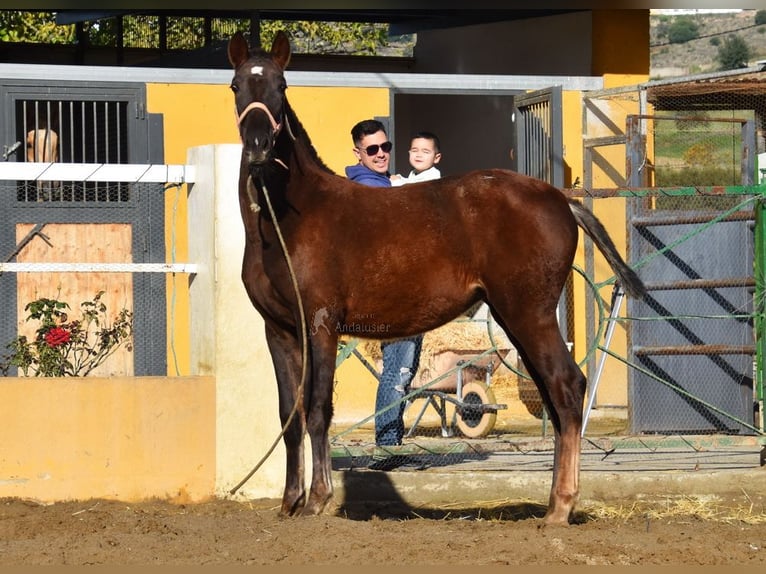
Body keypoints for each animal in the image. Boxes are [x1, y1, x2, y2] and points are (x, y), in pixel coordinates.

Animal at [228, 30, 648, 528]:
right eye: (236, 86)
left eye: (282, 86)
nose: (257, 145)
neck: (288, 219)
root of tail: (561, 199)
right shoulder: (280, 331)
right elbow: (288, 415)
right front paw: (290, 502)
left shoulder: (321, 326)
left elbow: (316, 410)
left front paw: (318, 500)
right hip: (516, 319)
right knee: (554, 393)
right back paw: (552, 503)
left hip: (531, 314)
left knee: (567, 388)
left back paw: (560, 508)